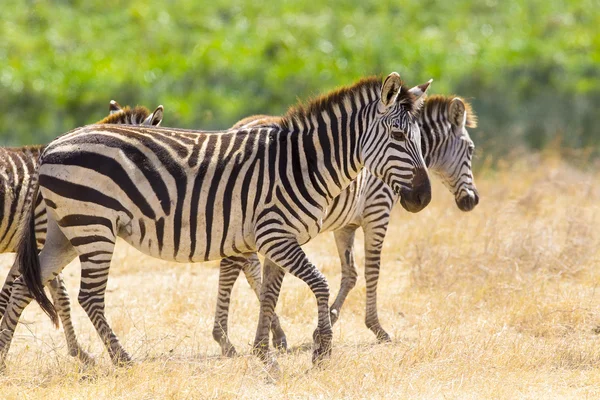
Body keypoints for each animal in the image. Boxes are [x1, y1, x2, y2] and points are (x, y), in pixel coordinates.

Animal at [211, 94, 478, 356]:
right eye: (471, 149)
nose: (472, 201)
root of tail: (238, 126)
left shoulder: (345, 225)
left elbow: (350, 274)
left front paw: (326, 322)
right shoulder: (377, 211)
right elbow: (372, 271)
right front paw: (376, 328)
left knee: (245, 267)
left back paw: (265, 334)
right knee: (235, 267)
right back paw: (230, 339)